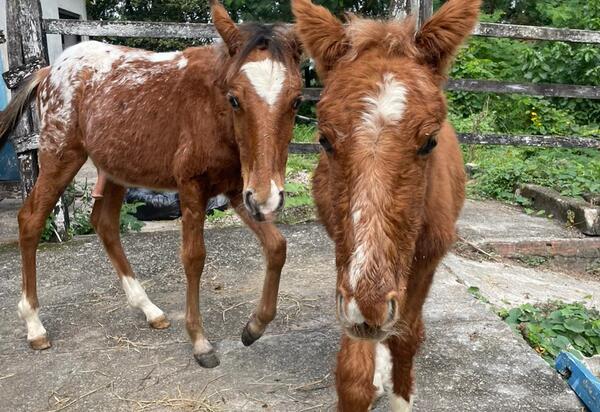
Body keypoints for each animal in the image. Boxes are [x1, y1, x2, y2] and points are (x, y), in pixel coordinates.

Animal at [0, 0, 302, 366]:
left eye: (297, 100)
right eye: (235, 99)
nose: (268, 199)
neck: (211, 109)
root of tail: (49, 71)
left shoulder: (236, 189)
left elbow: (277, 247)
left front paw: (254, 327)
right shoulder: (193, 186)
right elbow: (194, 257)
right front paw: (200, 341)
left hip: (116, 168)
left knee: (104, 223)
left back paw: (149, 309)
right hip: (60, 156)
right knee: (31, 220)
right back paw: (34, 325)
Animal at [292, 0, 480, 410]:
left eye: (429, 141)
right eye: (324, 139)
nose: (370, 304)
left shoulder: (426, 261)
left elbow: (406, 339)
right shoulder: (347, 271)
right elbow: (353, 372)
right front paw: (370, 375)